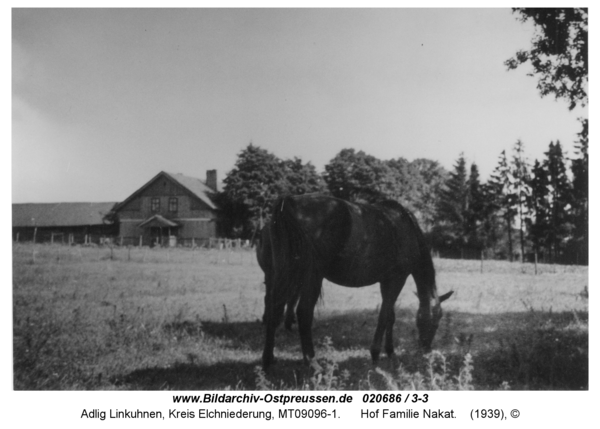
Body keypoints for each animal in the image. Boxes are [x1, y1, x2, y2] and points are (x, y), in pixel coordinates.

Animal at [255, 194, 452, 368]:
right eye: (437, 319)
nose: (426, 348)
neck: (407, 228)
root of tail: (289, 202)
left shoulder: (386, 281)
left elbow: (390, 316)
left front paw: (390, 351)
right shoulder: (397, 279)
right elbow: (384, 315)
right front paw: (375, 353)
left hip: (280, 273)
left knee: (274, 309)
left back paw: (268, 360)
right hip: (311, 276)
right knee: (303, 313)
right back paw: (312, 362)